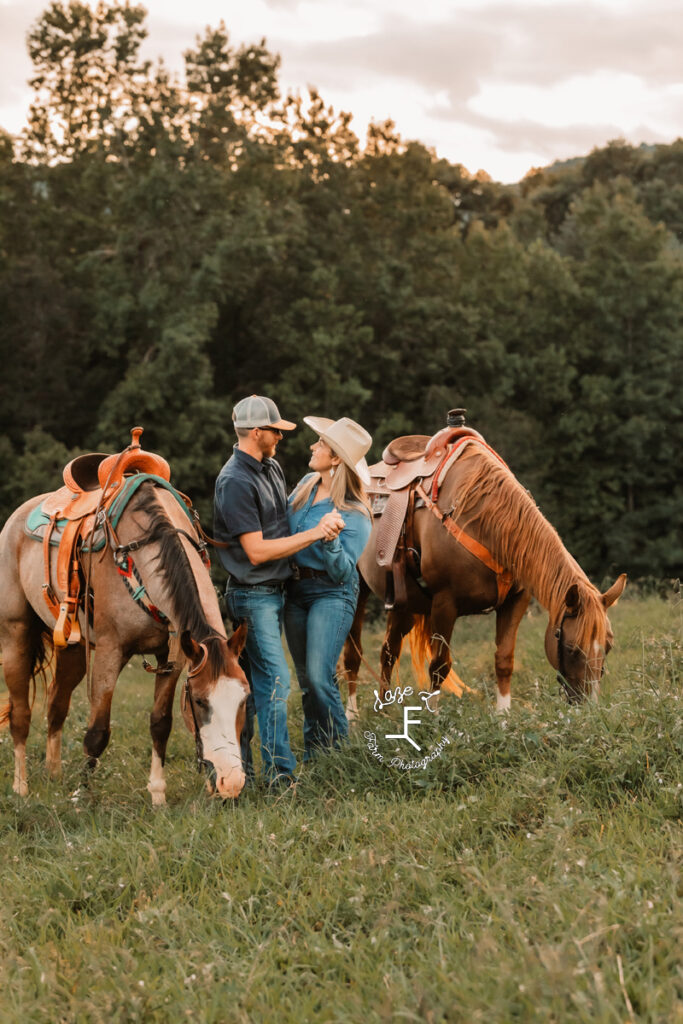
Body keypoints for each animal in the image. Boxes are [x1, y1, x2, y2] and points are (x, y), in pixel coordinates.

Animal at [0, 475, 250, 802]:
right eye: (199, 700)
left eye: (245, 698)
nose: (231, 783)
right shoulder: (111, 651)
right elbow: (97, 732)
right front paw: (81, 797)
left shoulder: (172, 658)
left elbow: (160, 723)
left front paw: (158, 795)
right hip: (15, 636)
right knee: (21, 714)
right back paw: (21, 787)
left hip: (73, 648)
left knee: (56, 705)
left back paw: (54, 776)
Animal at [344, 438, 626, 712]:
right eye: (572, 648)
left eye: (608, 646)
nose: (589, 707)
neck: (484, 521)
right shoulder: (444, 604)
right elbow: (439, 665)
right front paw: (434, 720)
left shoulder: (515, 602)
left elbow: (504, 661)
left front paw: (503, 718)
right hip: (358, 592)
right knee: (353, 654)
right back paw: (352, 715)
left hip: (405, 605)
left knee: (388, 652)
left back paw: (384, 711)